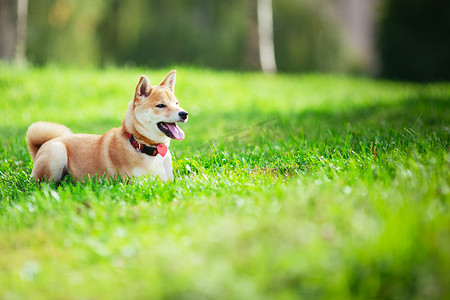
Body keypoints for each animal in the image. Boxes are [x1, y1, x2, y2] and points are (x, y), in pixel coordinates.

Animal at [26, 70, 188, 183]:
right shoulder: (135, 183)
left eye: (176, 103)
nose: (184, 114)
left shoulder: (168, 181)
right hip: (57, 153)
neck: (141, 144)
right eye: (161, 105)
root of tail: (42, 146)